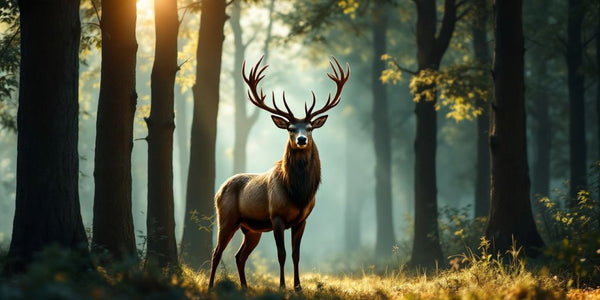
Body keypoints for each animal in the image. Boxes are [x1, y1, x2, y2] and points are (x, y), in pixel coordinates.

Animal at [210, 56, 352, 290]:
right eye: (290, 128)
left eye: (310, 127)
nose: (302, 139)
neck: (298, 193)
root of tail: (219, 189)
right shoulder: (276, 216)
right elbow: (282, 254)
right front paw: (283, 286)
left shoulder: (302, 220)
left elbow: (296, 254)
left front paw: (298, 286)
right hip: (227, 217)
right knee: (217, 252)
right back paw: (211, 286)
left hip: (252, 229)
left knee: (239, 256)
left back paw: (245, 287)